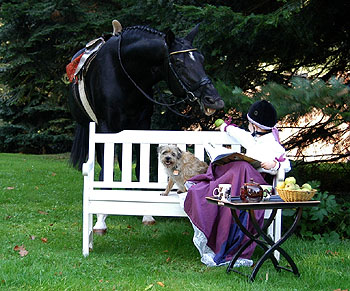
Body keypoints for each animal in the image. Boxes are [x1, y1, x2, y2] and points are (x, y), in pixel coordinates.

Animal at [68, 24, 224, 173]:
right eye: (178, 62)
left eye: (201, 59)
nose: (215, 100)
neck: (124, 74)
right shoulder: (105, 127)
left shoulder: (142, 125)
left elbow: (139, 169)